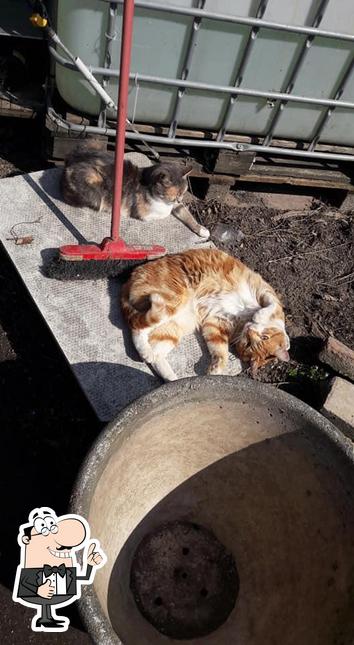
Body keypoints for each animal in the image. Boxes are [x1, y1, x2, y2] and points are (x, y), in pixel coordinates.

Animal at [61, 141, 210, 239]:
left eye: (183, 193)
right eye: (176, 195)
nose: (179, 200)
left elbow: (187, 215)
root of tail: (71, 157)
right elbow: (165, 213)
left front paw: (201, 229)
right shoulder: (144, 213)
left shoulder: (177, 206)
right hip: (93, 187)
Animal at [121, 245, 290, 378]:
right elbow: (269, 306)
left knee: (155, 356)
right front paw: (258, 316)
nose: (250, 330)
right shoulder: (265, 291)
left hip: (174, 327)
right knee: (137, 328)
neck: (243, 320)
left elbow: (220, 351)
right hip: (172, 301)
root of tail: (130, 278)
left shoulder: (216, 323)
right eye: (263, 337)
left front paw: (215, 371)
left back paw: (169, 376)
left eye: (247, 344)